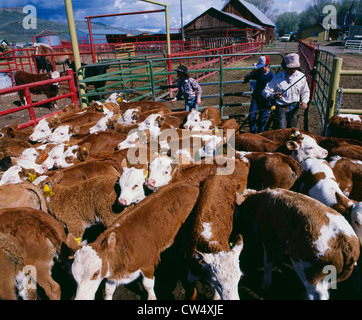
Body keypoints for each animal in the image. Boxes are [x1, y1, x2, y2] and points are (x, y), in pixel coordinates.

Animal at [71, 181, 201, 298]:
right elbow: (108, 291)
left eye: (95, 273)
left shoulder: (148, 264)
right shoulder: (112, 271)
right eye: (74, 275)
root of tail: (192, 185)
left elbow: (148, 285)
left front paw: (152, 297)